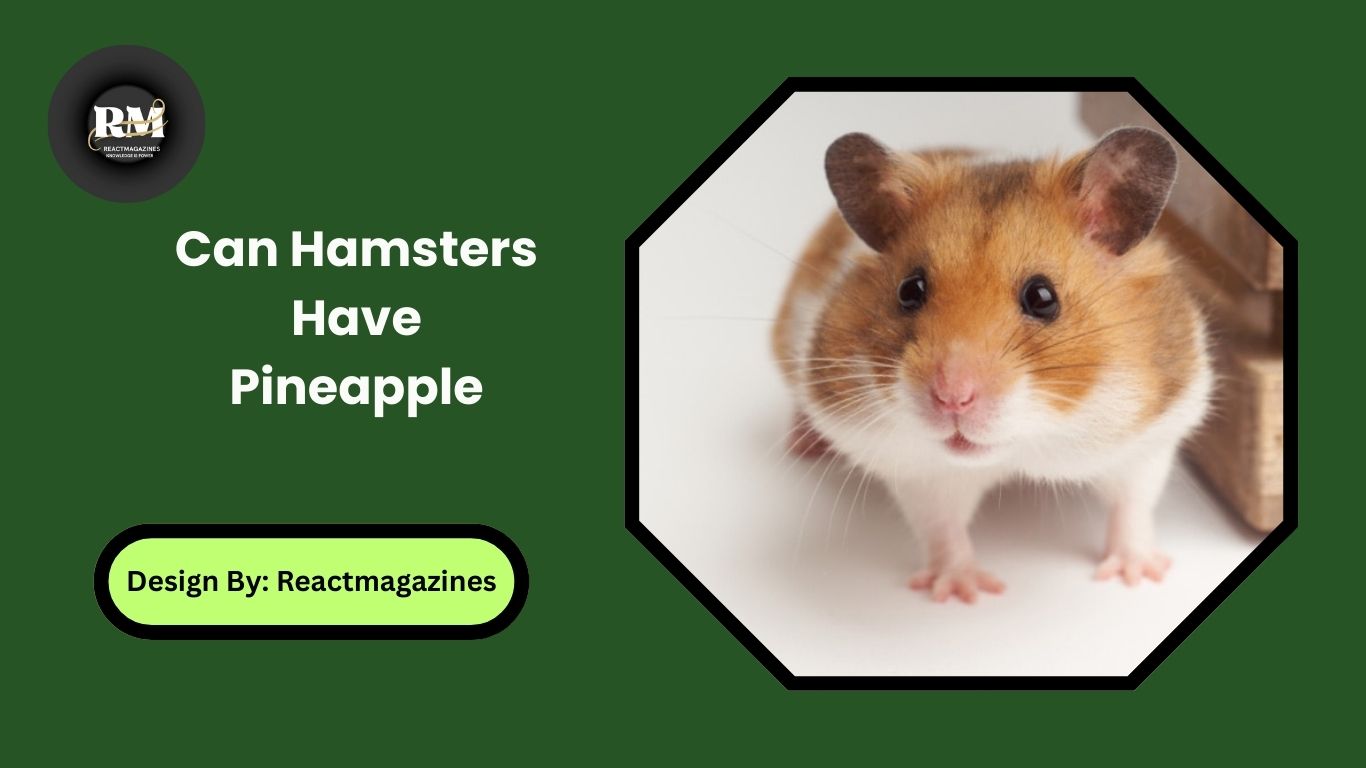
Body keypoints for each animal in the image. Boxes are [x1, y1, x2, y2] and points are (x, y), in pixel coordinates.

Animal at [772, 128, 1212, 603]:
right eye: (910, 290)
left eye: (1042, 297)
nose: (952, 398)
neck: (1024, 444)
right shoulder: (919, 469)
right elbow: (942, 528)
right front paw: (963, 593)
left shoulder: (1149, 438)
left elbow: (1133, 505)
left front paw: (1138, 576)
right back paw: (802, 444)